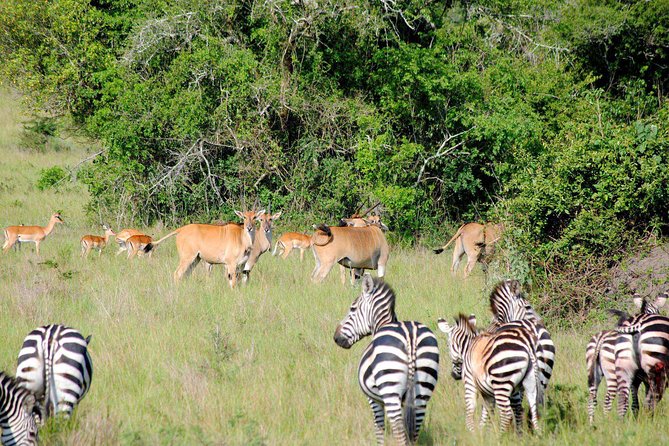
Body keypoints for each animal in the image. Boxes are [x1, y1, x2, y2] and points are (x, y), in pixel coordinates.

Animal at [332, 276, 438, 446]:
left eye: (352, 309)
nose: (336, 338)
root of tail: (411, 337)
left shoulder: (374, 400)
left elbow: (379, 430)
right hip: (422, 391)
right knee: (413, 434)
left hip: (390, 390)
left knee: (400, 435)